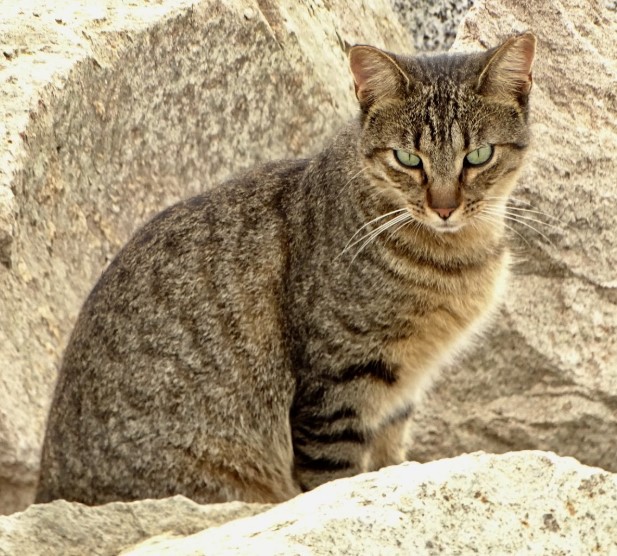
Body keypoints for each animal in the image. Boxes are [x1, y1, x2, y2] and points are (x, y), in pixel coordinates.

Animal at [36, 32, 536, 506]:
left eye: (479, 156)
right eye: (408, 159)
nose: (444, 208)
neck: (454, 257)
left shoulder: (402, 388)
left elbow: (389, 458)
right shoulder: (337, 382)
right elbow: (334, 478)